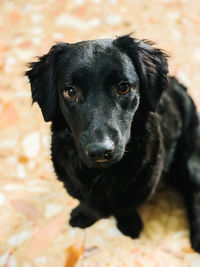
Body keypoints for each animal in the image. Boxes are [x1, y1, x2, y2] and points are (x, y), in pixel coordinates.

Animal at [26, 35, 200, 253]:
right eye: (70, 92)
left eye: (123, 87)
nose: (101, 151)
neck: (103, 174)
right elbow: (88, 202)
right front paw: (85, 214)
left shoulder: (145, 180)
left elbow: (126, 205)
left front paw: (128, 223)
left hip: (189, 158)